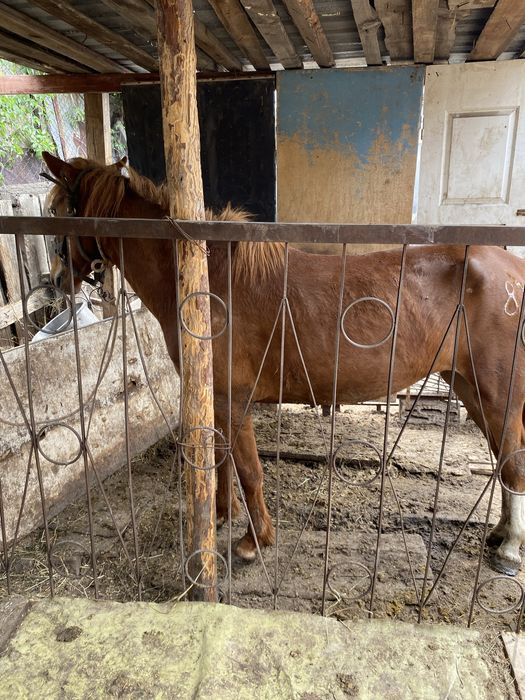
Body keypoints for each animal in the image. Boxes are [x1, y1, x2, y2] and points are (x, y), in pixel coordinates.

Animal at [42, 150, 525, 577]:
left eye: (57, 211)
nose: (58, 282)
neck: (207, 281)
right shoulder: (218, 400)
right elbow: (223, 462)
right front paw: (222, 515)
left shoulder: (233, 400)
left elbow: (250, 471)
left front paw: (255, 541)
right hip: (467, 386)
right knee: (505, 459)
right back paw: (500, 533)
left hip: (497, 394)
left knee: (513, 462)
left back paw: (510, 549)